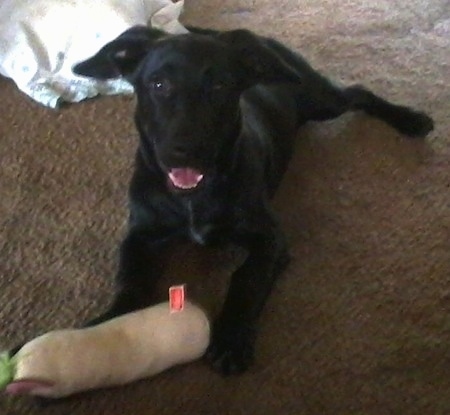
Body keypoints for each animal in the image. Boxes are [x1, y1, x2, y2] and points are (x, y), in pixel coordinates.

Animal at [73, 26, 432, 376]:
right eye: (158, 84)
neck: (193, 198)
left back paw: (412, 120)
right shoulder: (141, 235)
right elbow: (129, 280)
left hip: (320, 100)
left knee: (358, 93)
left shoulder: (269, 238)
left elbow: (246, 280)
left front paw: (232, 339)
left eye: (219, 85)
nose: (186, 150)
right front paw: (106, 329)